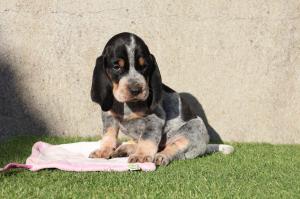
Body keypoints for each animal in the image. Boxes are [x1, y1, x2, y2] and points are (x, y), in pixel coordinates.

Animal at [88, 32, 233, 166]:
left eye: (144, 66)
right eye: (116, 67)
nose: (136, 90)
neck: (128, 105)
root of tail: (204, 146)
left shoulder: (154, 119)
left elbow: (147, 139)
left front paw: (141, 155)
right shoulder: (109, 117)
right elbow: (108, 135)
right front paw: (104, 150)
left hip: (189, 133)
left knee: (173, 149)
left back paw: (161, 156)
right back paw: (124, 148)